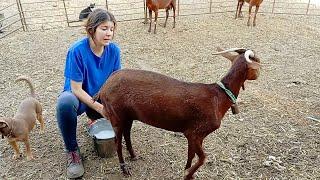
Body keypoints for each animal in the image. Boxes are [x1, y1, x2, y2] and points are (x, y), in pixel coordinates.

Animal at [97, 47, 260, 179]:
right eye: (257, 62)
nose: (259, 73)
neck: (218, 97)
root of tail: (104, 86)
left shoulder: (197, 135)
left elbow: (191, 154)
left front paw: (188, 171)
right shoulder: (194, 132)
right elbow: (202, 157)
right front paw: (187, 174)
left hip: (128, 115)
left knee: (127, 134)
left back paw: (134, 156)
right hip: (116, 115)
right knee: (117, 142)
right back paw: (125, 170)